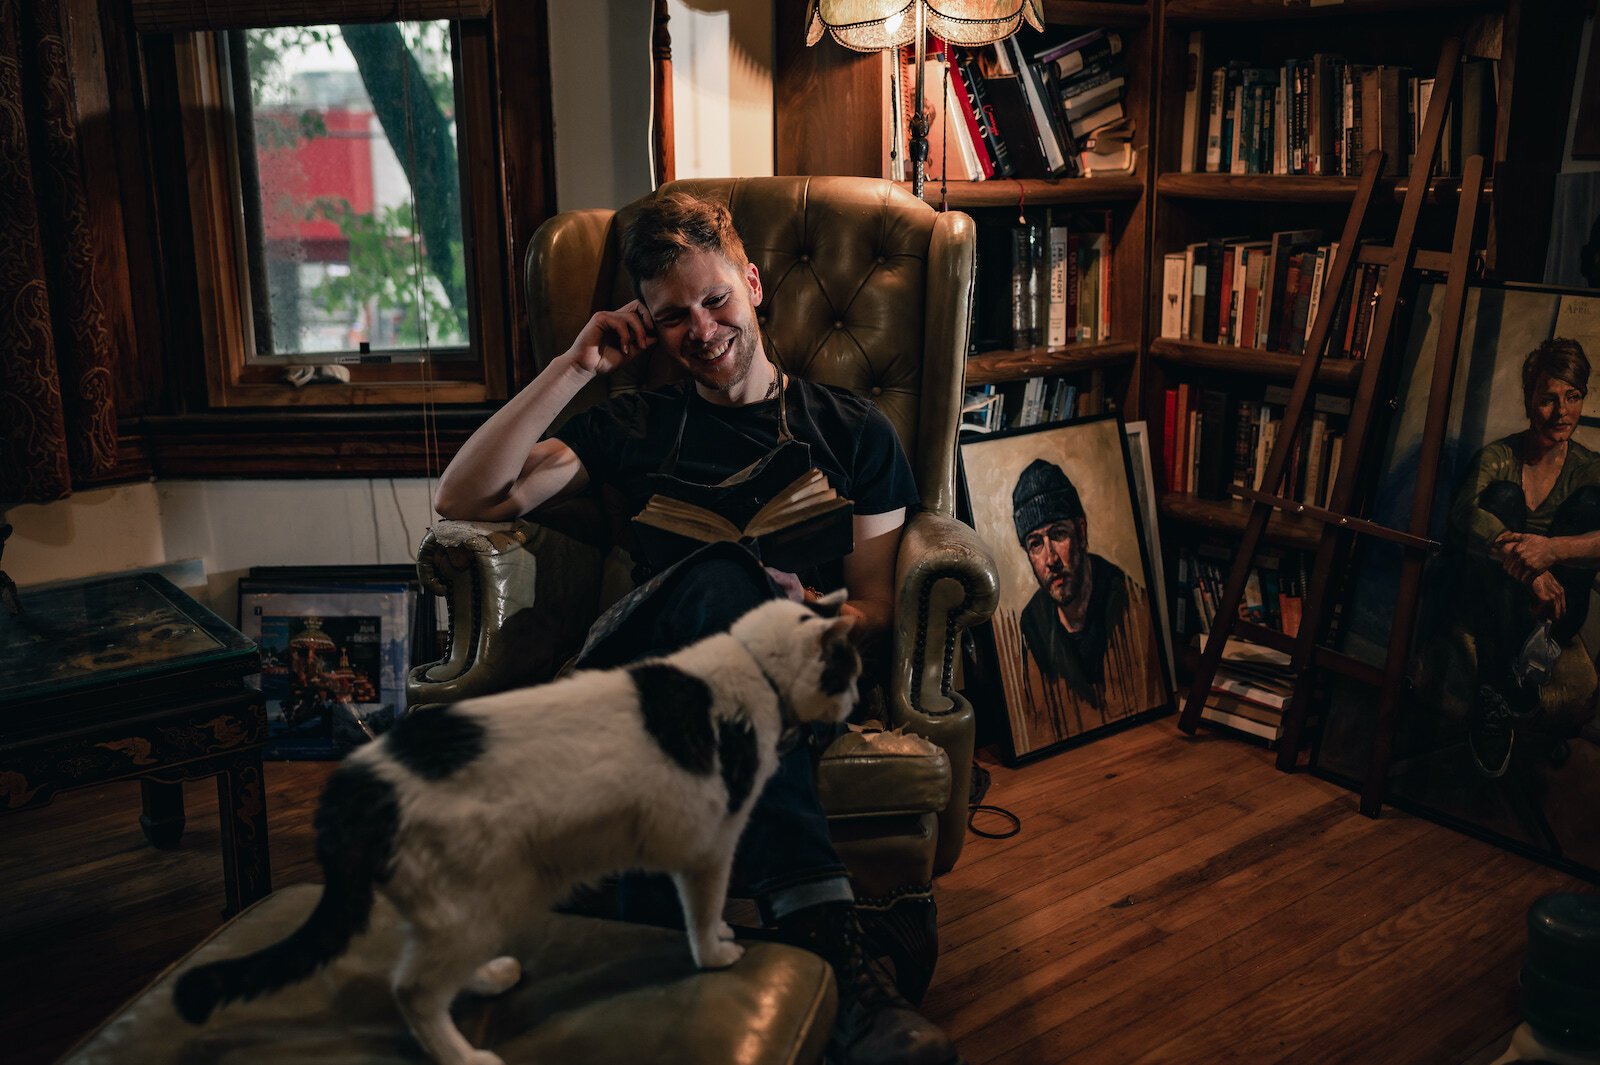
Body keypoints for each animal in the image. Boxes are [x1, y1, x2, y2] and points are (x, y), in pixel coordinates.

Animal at [175, 591, 864, 1055]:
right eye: (850, 673)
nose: (857, 700)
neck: (755, 668)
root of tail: (357, 780)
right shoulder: (711, 844)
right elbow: (701, 910)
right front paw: (717, 951)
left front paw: (718, 933)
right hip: (481, 899)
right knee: (411, 990)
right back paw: (464, 1053)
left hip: (457, 908)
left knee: (423, 964)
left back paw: (487, 978)